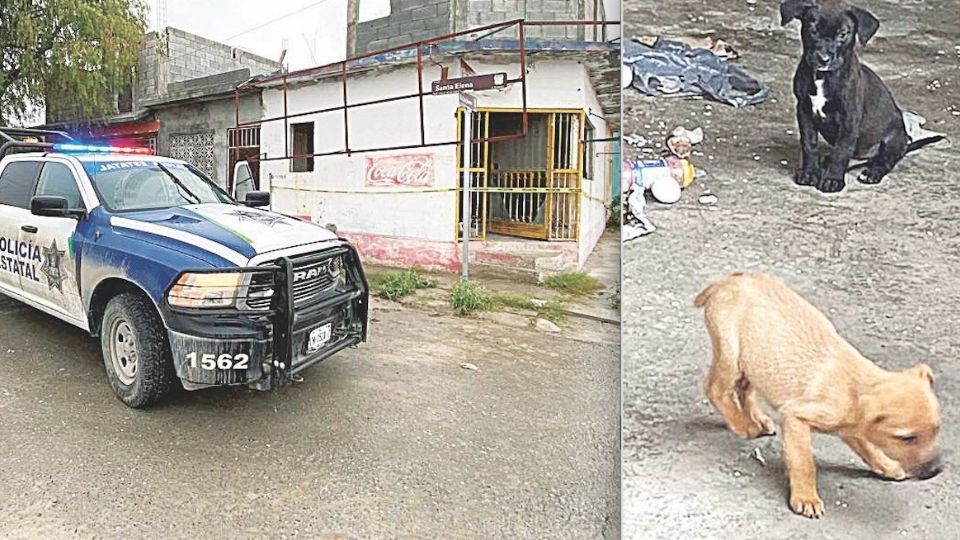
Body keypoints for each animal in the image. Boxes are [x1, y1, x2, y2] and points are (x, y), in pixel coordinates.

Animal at [692, 274, 940, 520]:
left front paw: (886, 465)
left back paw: (758, 419)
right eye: (907, 438)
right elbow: (804, 463)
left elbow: (868, 447)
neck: (853, 387)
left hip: (755, 361)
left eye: (937, 429)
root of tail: (728, 280)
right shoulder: (796, 417)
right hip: (730, 354)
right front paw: (806, 498)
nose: (936, 470)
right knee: (715, 388)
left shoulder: (852, 428)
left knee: (745, 388)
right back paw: (744, 425)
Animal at [780, 0, 936, 194]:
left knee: (885, 160)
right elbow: (809, 144)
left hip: (894, 140)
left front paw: (832, 180)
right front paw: (810, 173)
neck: (823, 77)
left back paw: (871, 173)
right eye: (813, 30)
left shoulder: (849, 118)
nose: (823, 59)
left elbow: (841, 151)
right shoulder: (804, 110)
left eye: (843, 34)